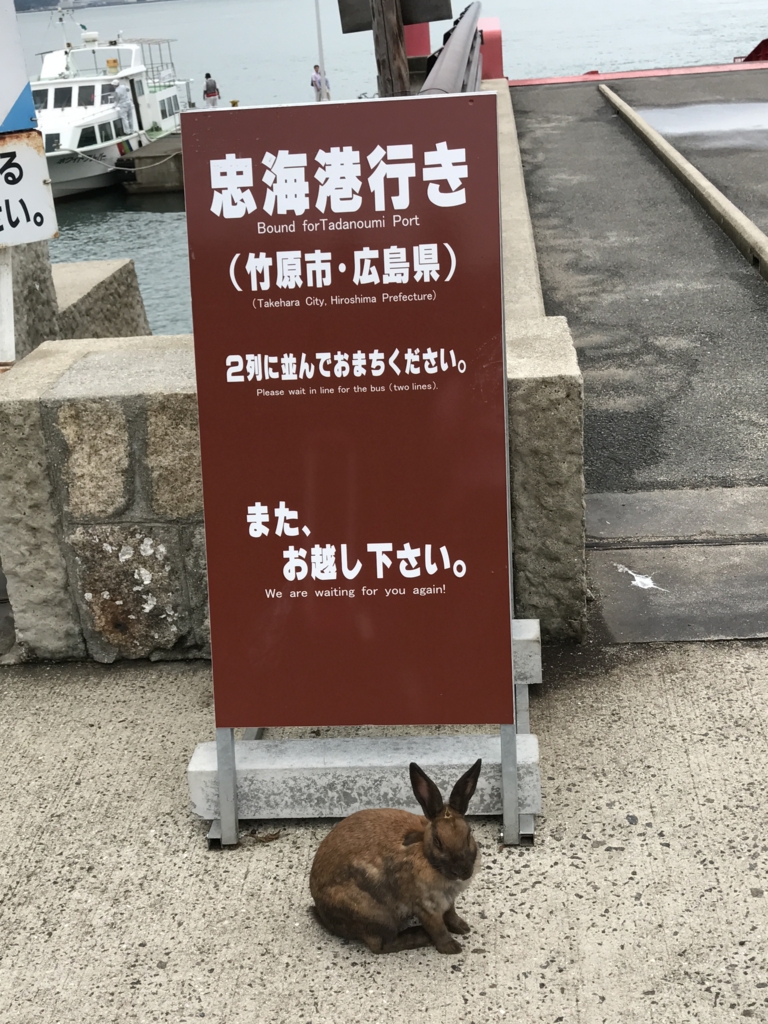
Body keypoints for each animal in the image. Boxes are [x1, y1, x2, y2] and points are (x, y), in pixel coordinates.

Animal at [311, 757, 481, 954]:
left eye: (469, 834)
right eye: (437, 841)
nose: (461, 871)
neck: (426, 854)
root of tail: (324, 915)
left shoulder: (448, 901)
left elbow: (451, 914)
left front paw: (463, 928)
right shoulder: (426, 907)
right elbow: (438, 928)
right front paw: (451, 948)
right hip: (378, 916)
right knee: (379, 945)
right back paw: (420, 936)